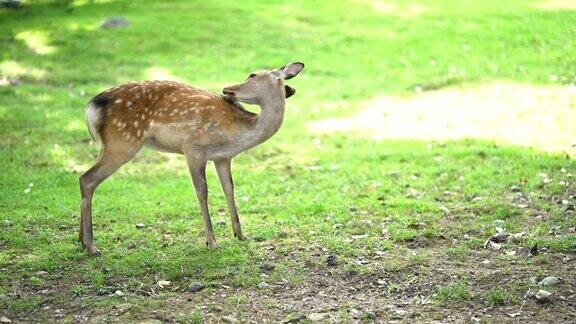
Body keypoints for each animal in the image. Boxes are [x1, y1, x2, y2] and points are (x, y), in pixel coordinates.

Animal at [81, 62, 306, 254]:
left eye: (252, 75)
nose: (227, 89)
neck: (236, 133)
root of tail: (91, 107)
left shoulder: (223, 157)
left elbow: (229, 188)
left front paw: (240, 234)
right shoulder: (193, 148)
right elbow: (202, 191)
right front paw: (212, 242)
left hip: (109, 144)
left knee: (86, 179)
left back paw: (82, 241)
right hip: (122, 142)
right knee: (87, 179)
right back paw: (91, 246)